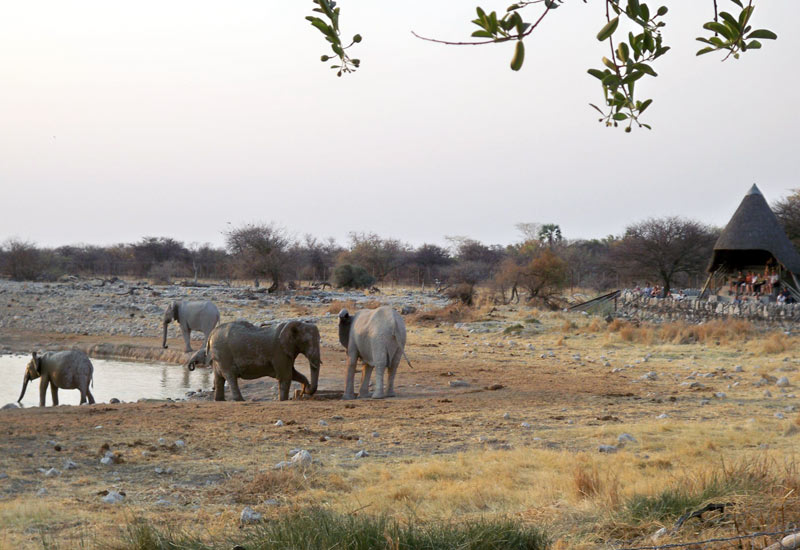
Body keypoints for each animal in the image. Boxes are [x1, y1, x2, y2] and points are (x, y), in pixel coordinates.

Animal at [187, 320, 321, 401]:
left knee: (220, 377)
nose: (302, 392)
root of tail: (211, 334)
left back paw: (220, 400)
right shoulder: (279, 352)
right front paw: (283, 400)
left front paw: (305, 386)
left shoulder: (287, 351)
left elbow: (293, 373)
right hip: (224, 354)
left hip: (219, 356)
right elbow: (286, 376)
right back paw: (240, 400)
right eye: (306, 342)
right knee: (230, 376)